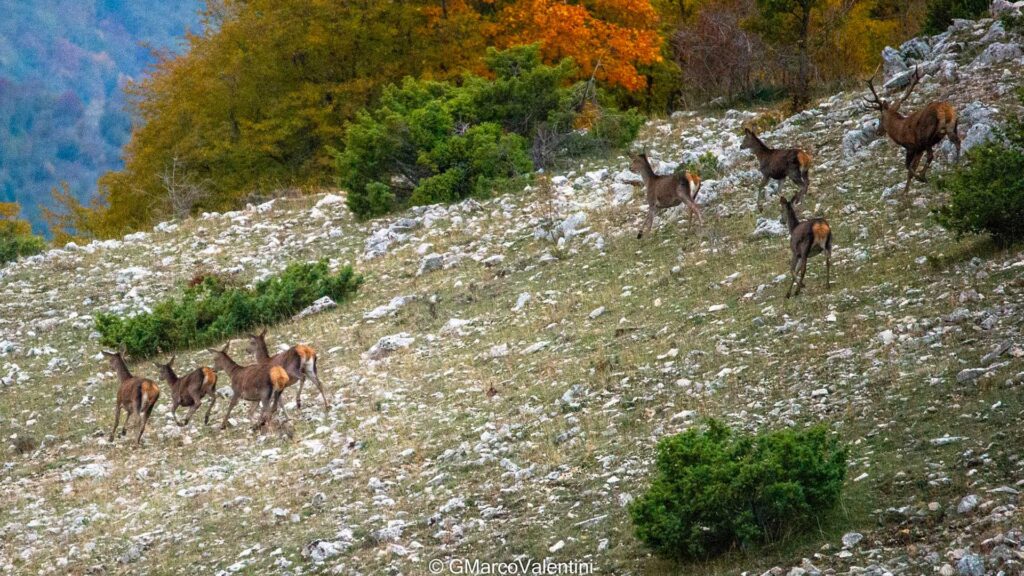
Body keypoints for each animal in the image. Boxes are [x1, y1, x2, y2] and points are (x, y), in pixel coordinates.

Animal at [864, 66, 958, 196]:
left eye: (880, 118)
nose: (878, 132)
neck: (899, 131)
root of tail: (944, 110)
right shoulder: (919, 149)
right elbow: (911, 168)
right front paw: (905, 192)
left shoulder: (911, 146)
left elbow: (908, 167)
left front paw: (911, 186)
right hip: (951, 126)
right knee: (958, 142)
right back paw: (959, 164)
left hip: (926, 135)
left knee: (931, 155)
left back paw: (922, 176)